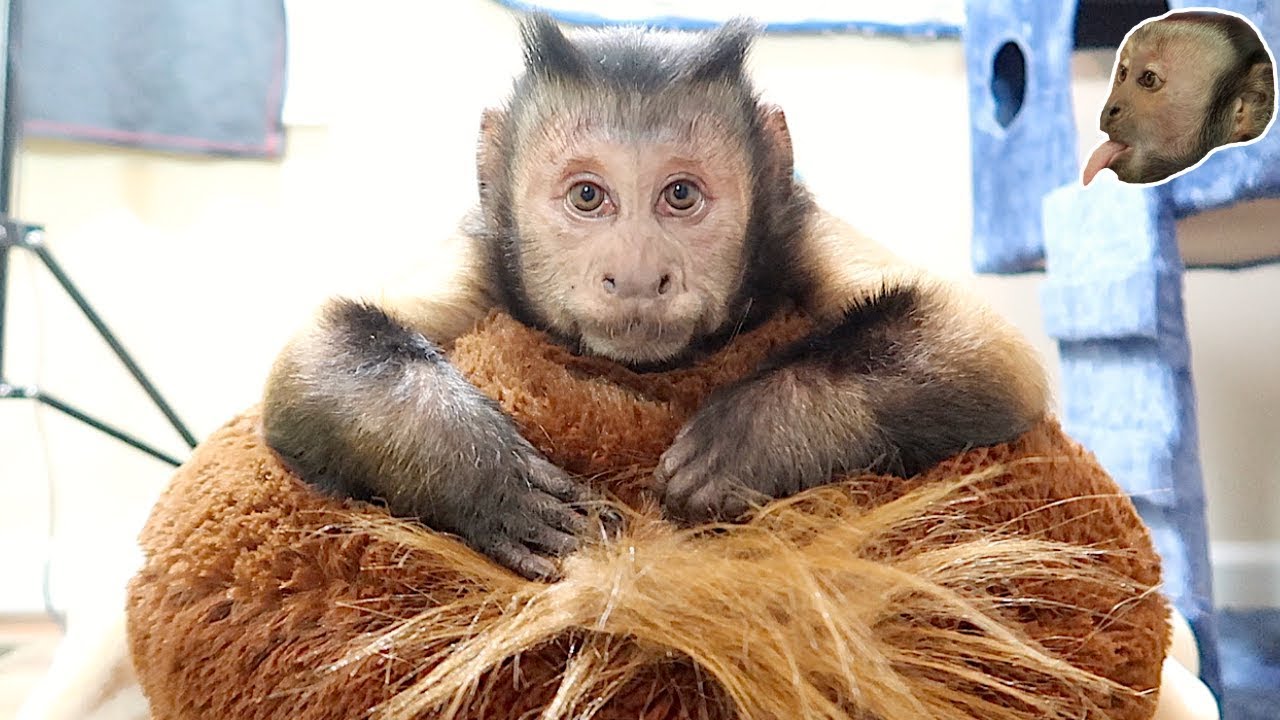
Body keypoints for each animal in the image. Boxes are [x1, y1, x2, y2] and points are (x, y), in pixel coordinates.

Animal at [262, 15, 1050, 582]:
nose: (639, 273)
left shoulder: (793, 226)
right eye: (588, 196)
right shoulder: (483, 251)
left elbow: (990, 351)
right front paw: (485, 477)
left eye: (680, 195)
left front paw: (756, 438)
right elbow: (316, 354)